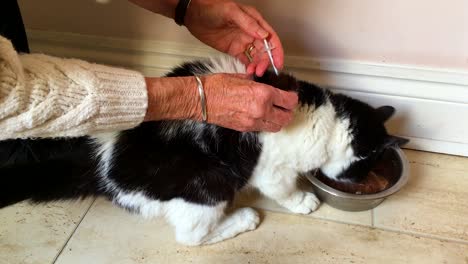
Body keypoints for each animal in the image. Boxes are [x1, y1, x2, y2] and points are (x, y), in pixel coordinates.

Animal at [0, 55, 406, 245]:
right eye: (363, 170)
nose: (362, 180)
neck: (329, 119)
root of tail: (103, 160)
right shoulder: (271, 168)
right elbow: (282, 188)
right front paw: (303, 200)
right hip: (210, 179)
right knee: (192, 236)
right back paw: (243, 219)